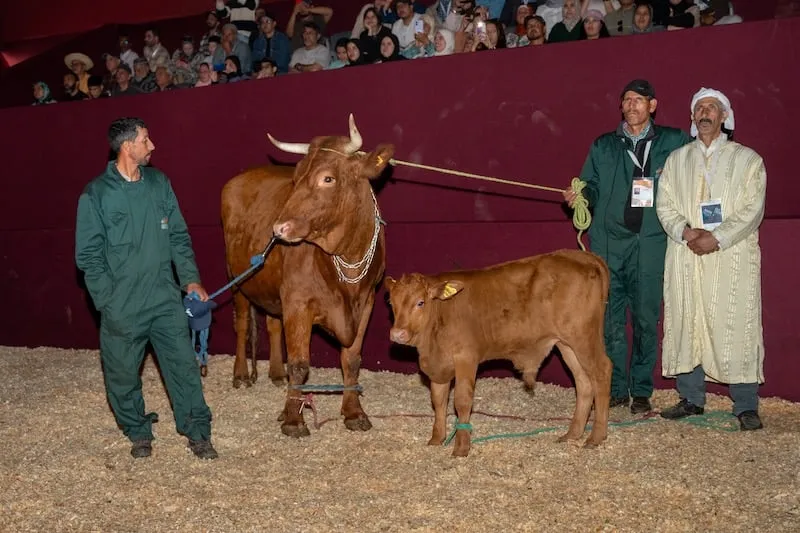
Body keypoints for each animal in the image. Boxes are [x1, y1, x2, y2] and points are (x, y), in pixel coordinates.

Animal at [220, 115, 394, 437]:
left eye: (328, 178)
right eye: (296, 176)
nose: (279, 229)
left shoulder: (366, 301)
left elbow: (352, 359)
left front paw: (354, 413)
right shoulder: (298, 301)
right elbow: (300, 364)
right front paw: (292, 418)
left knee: (273, 325)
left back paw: (276, 373)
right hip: (237, 279)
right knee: (242, 323)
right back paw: (241, 375)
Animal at [384, 249, 612, 457]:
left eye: (420, 302)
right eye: (392, 303)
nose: (397, 333)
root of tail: (585, 256)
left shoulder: (466, 357)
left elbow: (462, 400)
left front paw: (461, 448)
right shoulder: (438, 364)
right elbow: (438, 400)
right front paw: (436, 439)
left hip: (583, 337)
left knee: (602, 372)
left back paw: (596, 437)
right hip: (567, 344)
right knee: (583, 382)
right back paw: (573, 434)